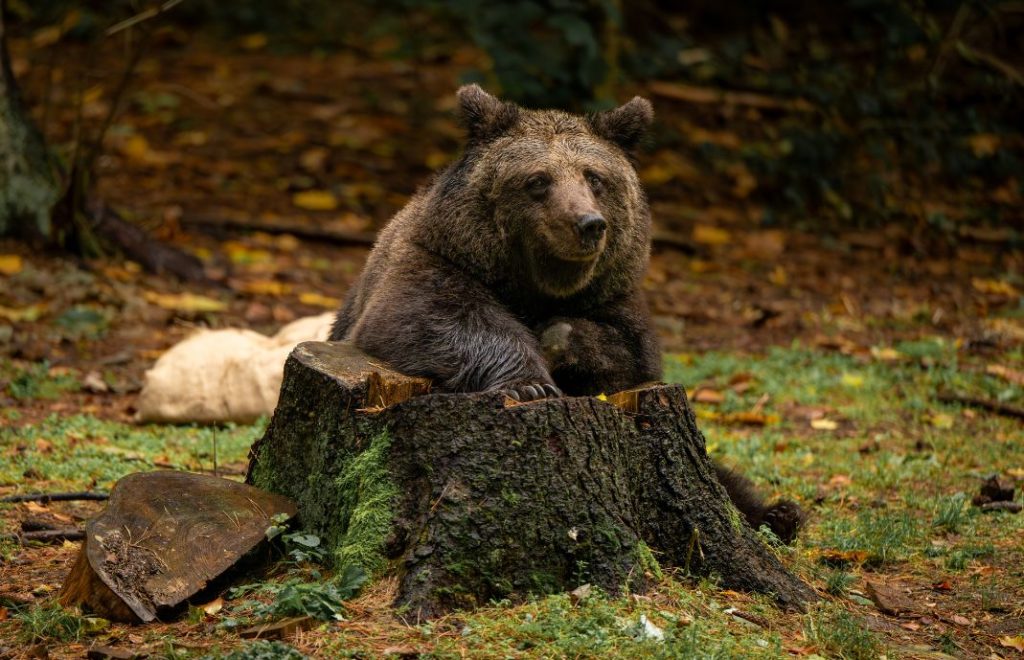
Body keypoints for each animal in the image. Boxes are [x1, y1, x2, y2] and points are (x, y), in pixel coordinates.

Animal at [331, 84, 802, 544]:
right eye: (538, 179)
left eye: (595, 177)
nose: (588, 224)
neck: (536, 282)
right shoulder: (429, 262)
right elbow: (433, 315)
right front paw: (530, 383)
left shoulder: (612, 294)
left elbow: (628, 351)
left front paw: (556, 341)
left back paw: (780, 513)